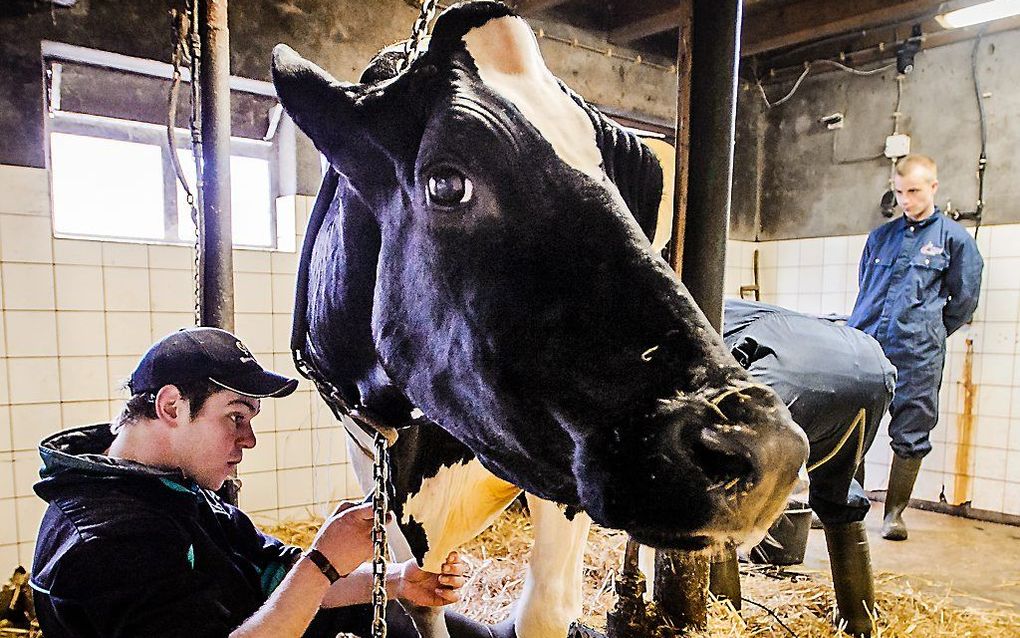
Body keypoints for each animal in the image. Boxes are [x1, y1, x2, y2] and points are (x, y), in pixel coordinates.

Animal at [273, 2, 811, 632]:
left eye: (632, 188)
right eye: (446, 182)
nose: (768, 452)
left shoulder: (561, 474)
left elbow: (545, 611)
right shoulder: (370, 451)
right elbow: (418, 595)